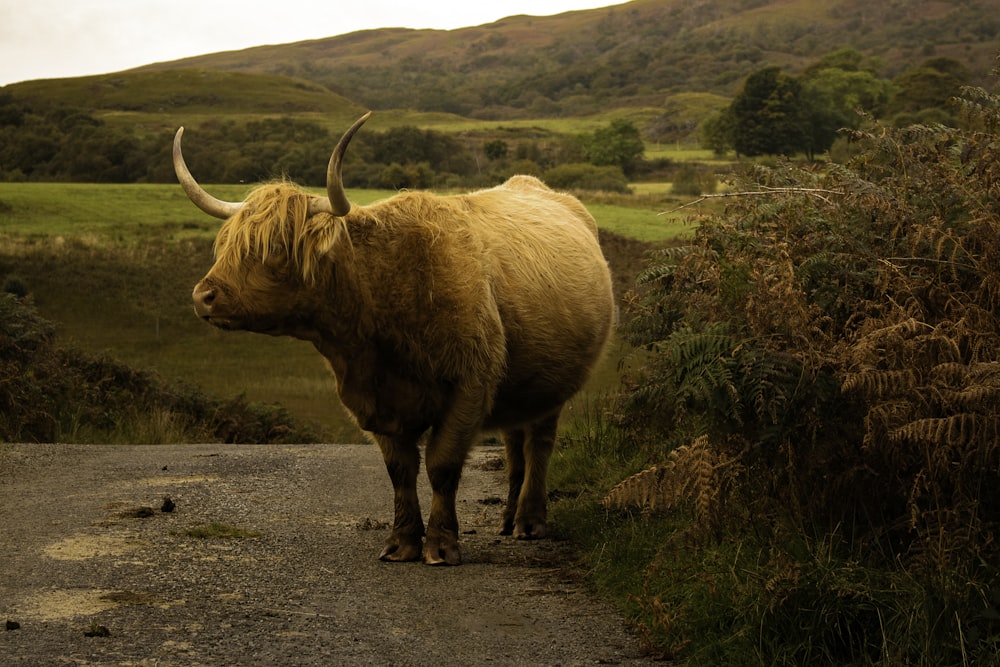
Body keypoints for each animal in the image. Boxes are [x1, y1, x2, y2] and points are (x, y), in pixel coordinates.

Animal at [176, 113, 620, 564]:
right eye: (227, 244)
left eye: (276, 247)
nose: (203, 295)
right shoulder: (375, 400)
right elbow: (400, 470)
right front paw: (402, 542)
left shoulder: (469, 385)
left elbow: (442, 465)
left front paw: (441, 545)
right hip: (518, 383)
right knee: (515, 444)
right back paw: (510, 518)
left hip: (553, 386)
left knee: (539, 445)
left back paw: (530, 522)